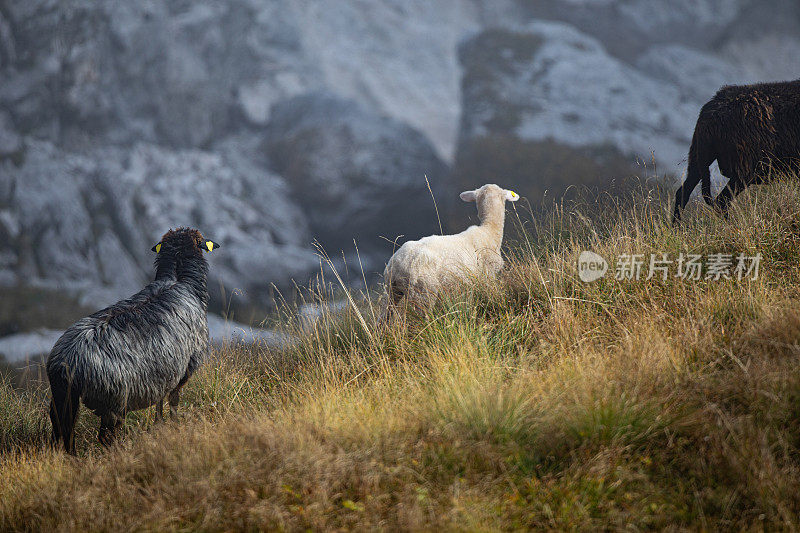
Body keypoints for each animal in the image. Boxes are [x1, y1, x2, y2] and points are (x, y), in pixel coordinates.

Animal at [676, 79, 800, 222]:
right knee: (721, 201)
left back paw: (677, 226)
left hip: (699, 156)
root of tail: (710, 111)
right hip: (743, 169)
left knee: (683, 192)